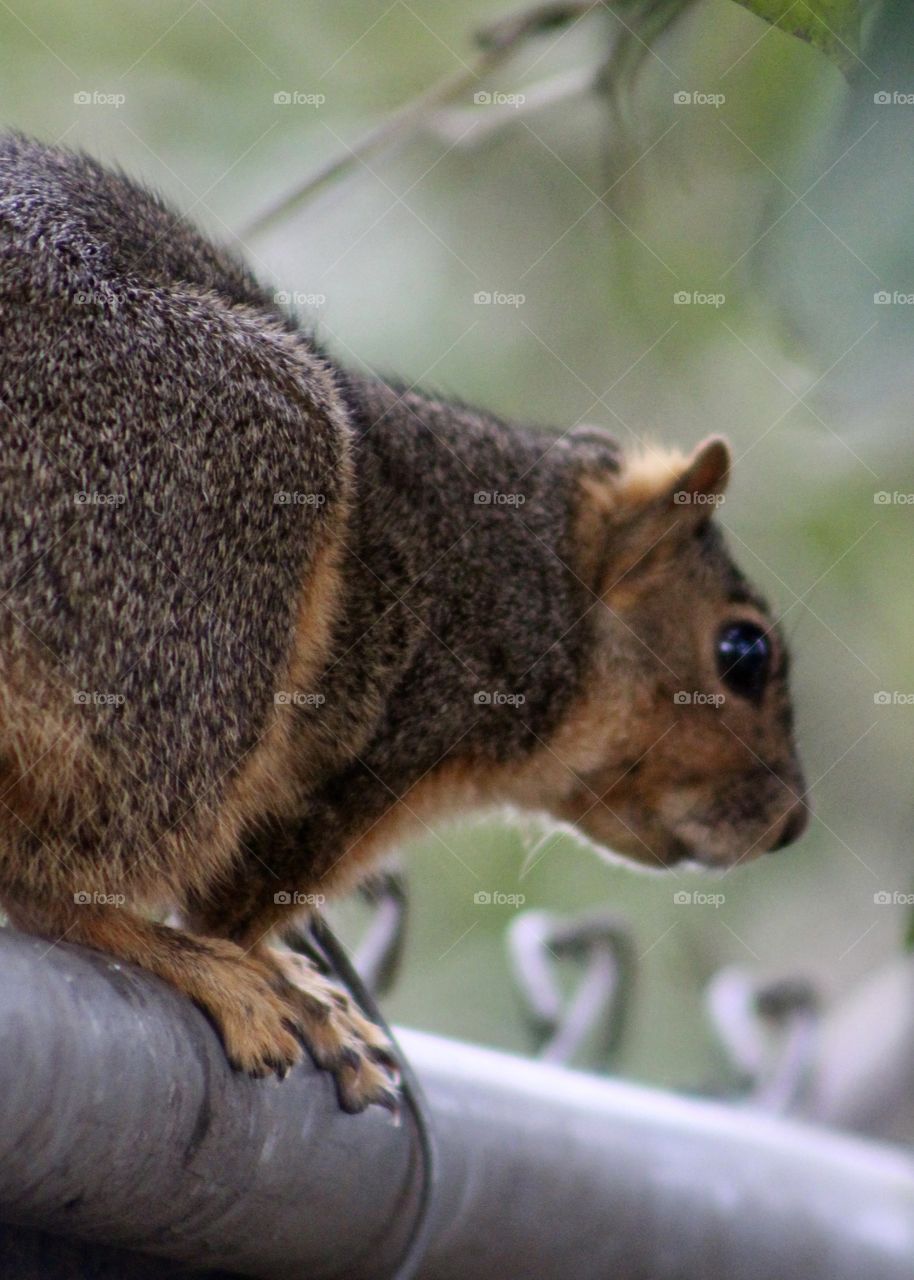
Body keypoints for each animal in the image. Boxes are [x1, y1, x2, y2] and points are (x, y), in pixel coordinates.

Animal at [0, 134, 809, 1112]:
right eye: (742, 651)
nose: (794, 822)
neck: (532, 568)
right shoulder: (392, 740)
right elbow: (249, 898)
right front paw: (284, 980)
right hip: (203, 560)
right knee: (47, 883)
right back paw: (183, 959)